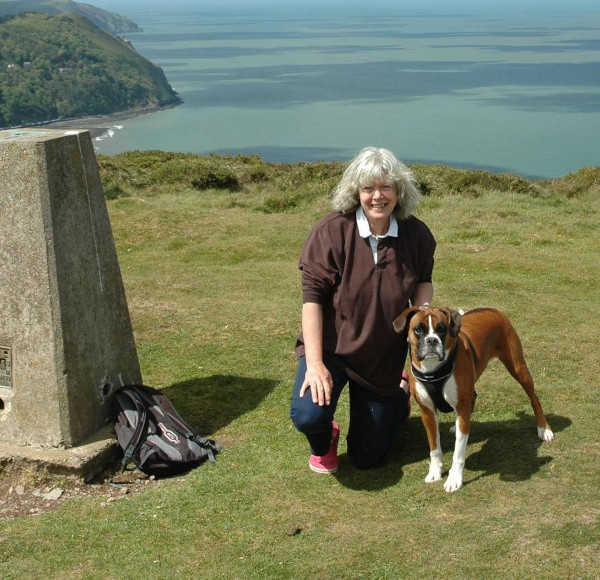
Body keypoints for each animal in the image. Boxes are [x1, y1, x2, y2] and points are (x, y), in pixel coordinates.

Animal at [394, 306, 552, 492]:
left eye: (442, 329)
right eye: (418, 329)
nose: (432, 340)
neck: (433, 369)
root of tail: (492, 309)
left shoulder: (461, 406)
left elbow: (458, 452)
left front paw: (454, 478)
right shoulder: (428, 412)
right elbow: (434, 448)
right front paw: (435, 472)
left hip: (518, 368)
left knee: (534, 397)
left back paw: (544, 429)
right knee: (473, 397)